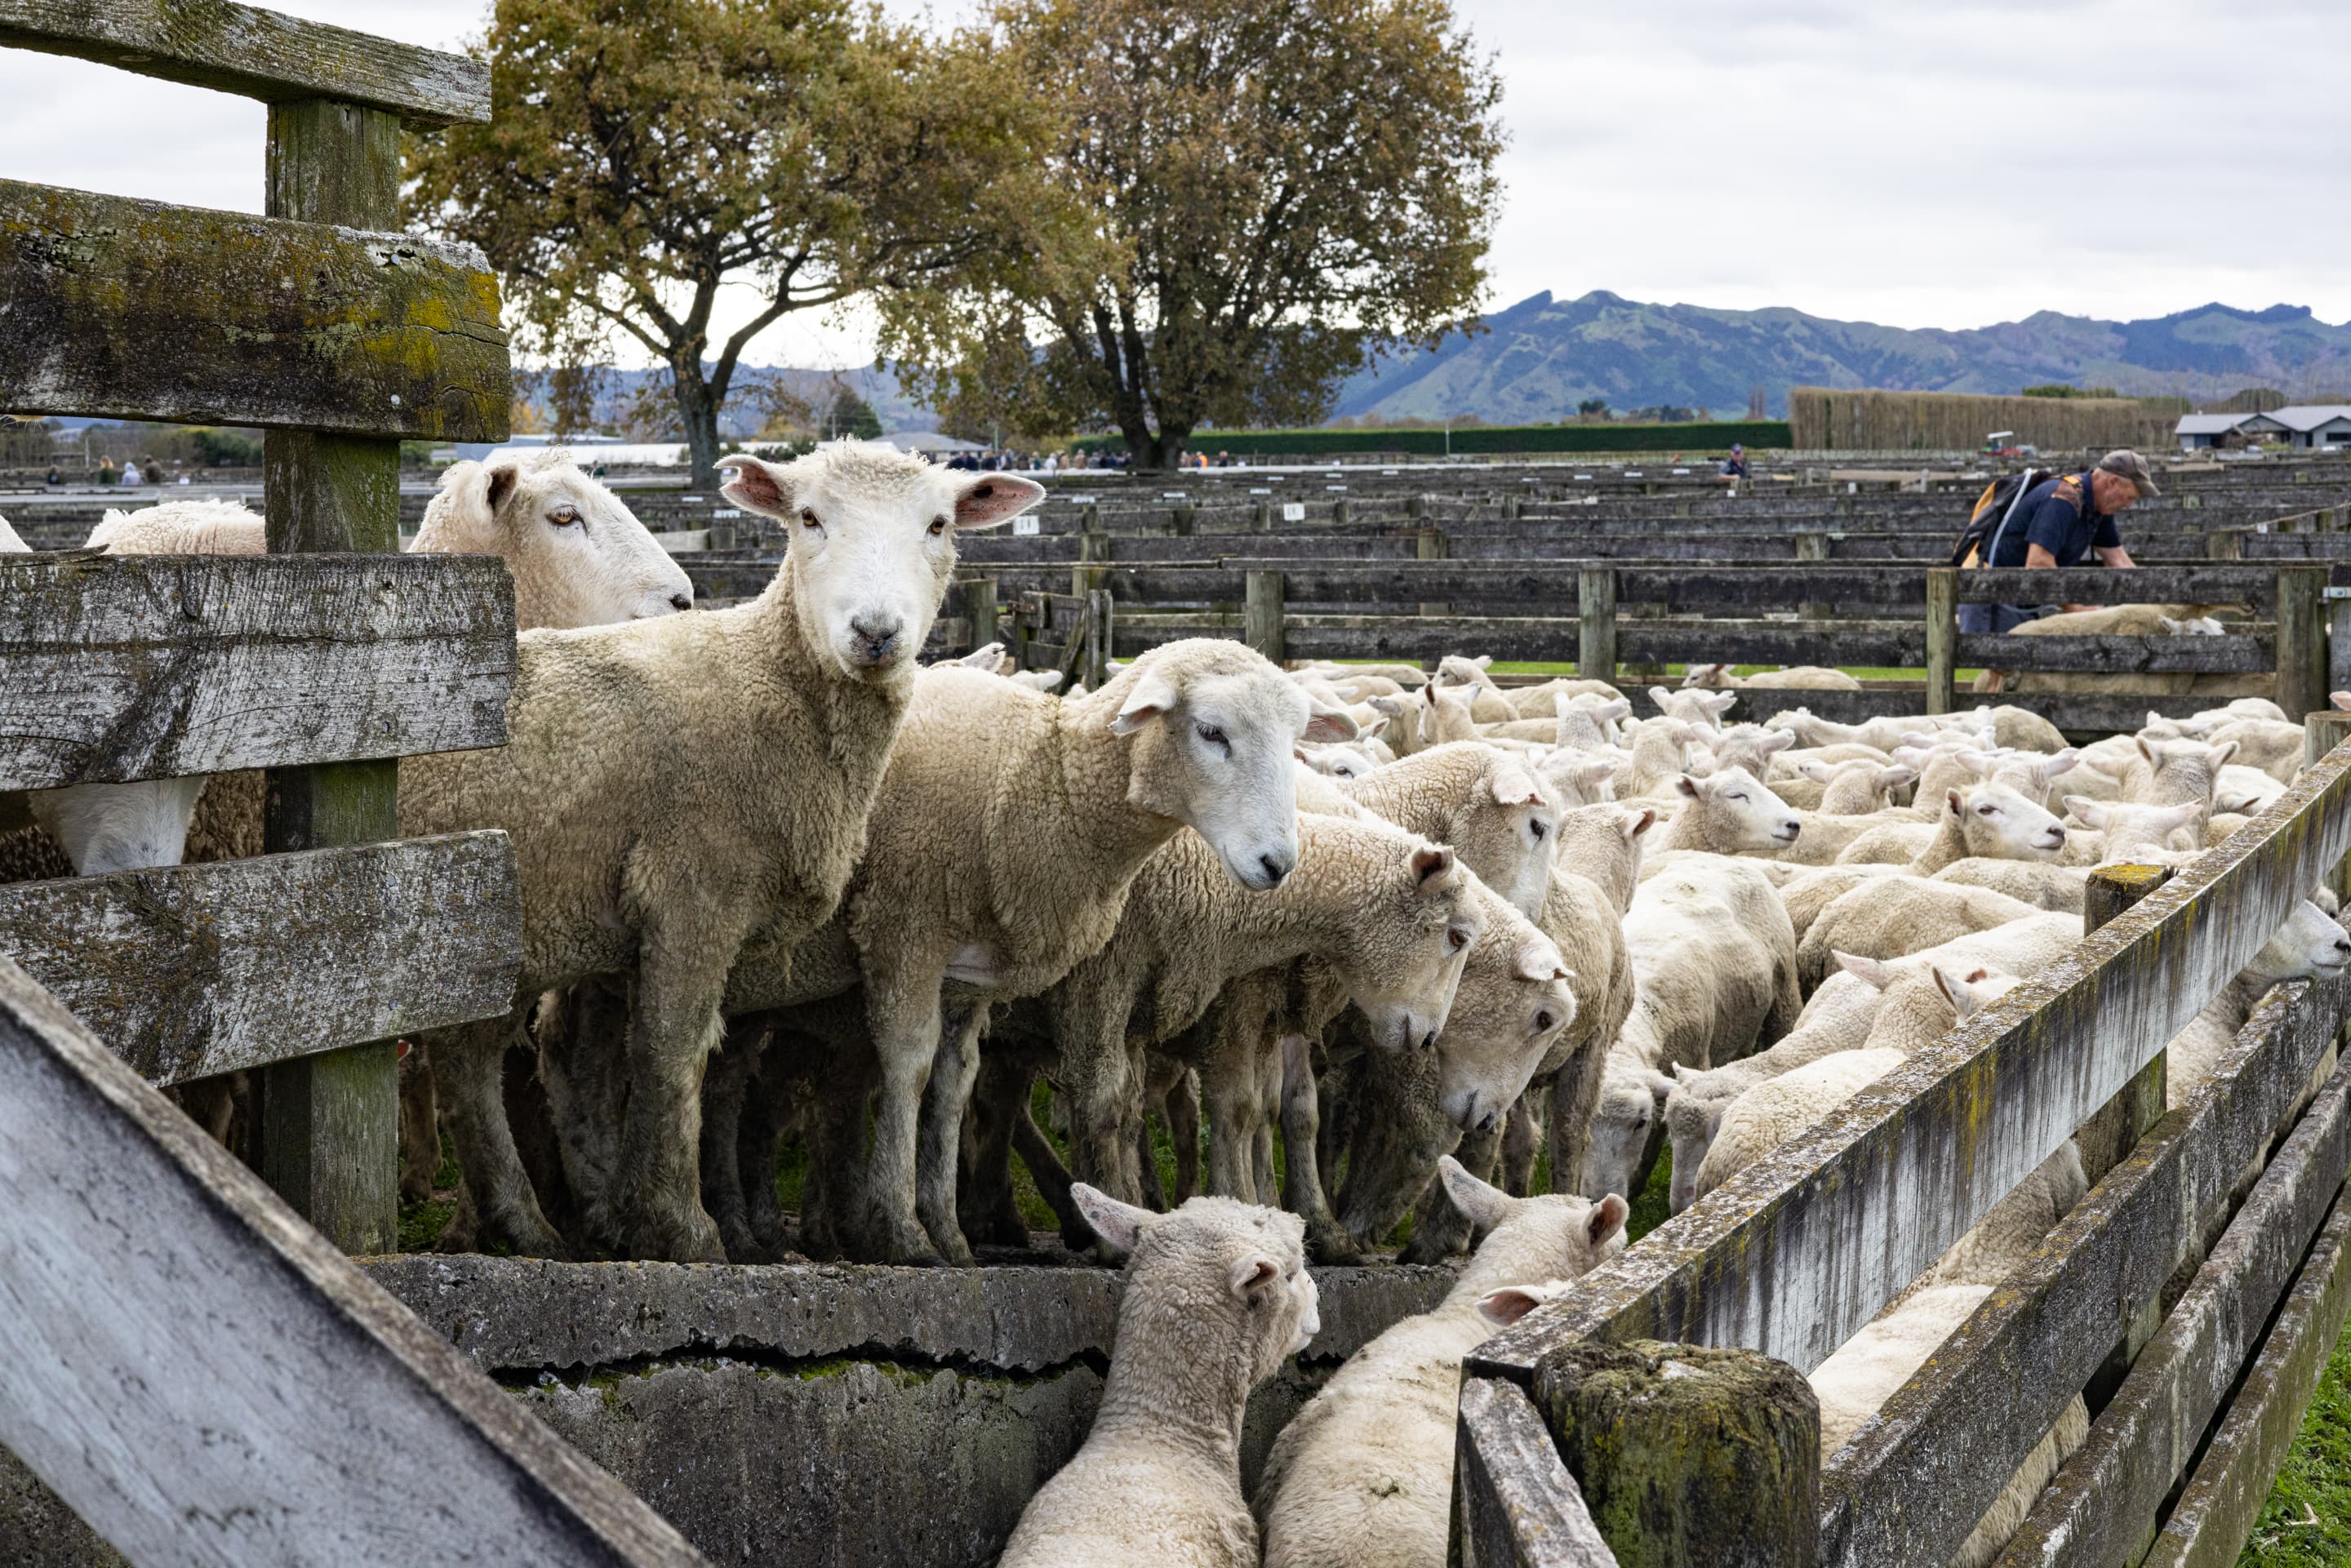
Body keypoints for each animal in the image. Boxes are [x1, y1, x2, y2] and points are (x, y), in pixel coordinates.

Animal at [398, 444, 1043, 1260]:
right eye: (808, 517)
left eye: (939, 524)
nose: (875, 631)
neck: (765, 676)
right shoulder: (691, 889)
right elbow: (673, 1054)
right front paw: (682, 1225)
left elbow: (648, 1059)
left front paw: (630, 1213)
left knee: (473, 1059)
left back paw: (528, 1222)